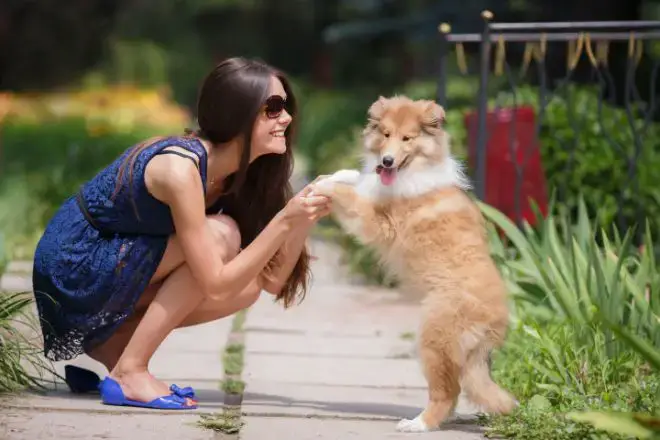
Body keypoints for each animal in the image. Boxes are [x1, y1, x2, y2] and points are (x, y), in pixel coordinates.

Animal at [312, 95, 520, 434]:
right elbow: (358, 178)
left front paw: (323, 188)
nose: (386, 161)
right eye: (385, 134)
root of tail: (496, 321)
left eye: (407, 139)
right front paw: (330, 176)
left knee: (446, 392)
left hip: (434, 339)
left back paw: (418, 424)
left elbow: (353, 196)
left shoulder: (379, 223)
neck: (412, 170)